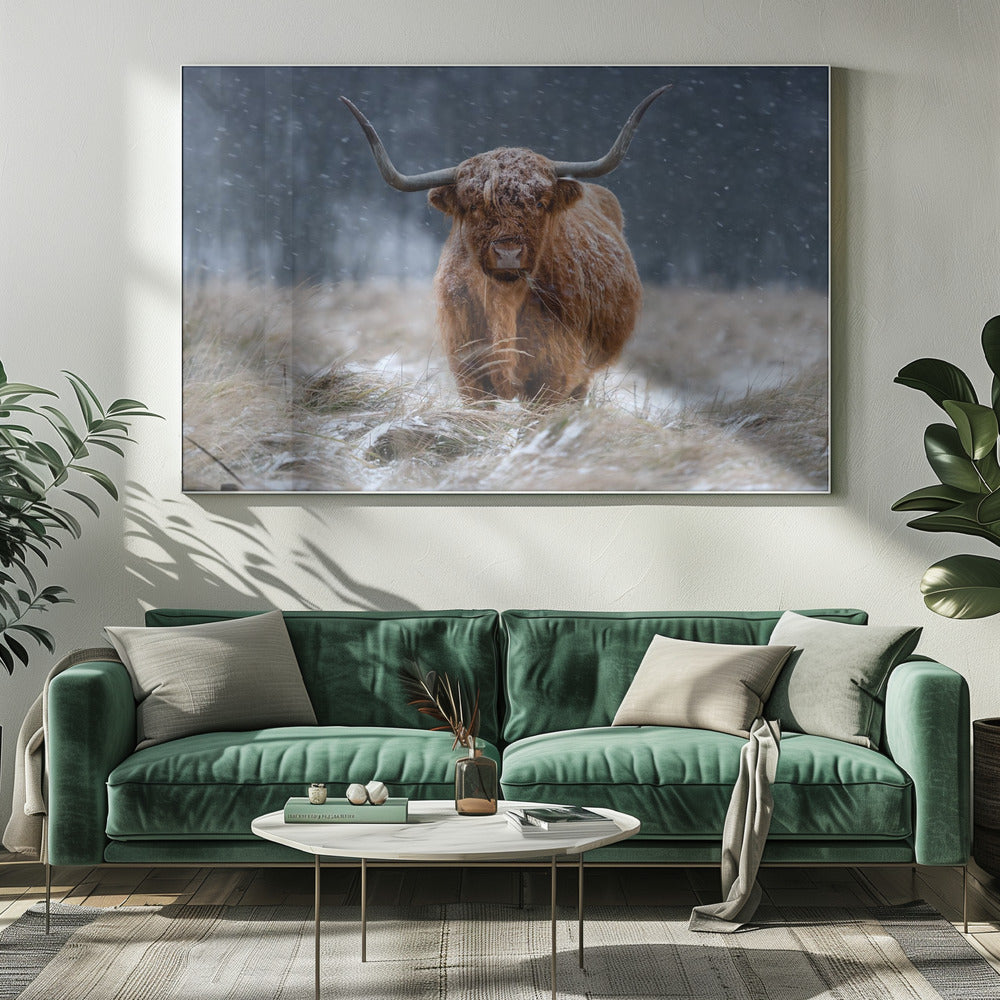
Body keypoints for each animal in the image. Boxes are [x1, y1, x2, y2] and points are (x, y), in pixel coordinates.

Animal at [342, 87, 667, 405]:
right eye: (474, 206)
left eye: (539, 203)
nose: (508, 254)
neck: (504, 302)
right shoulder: (469, 370)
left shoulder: (555, 374)